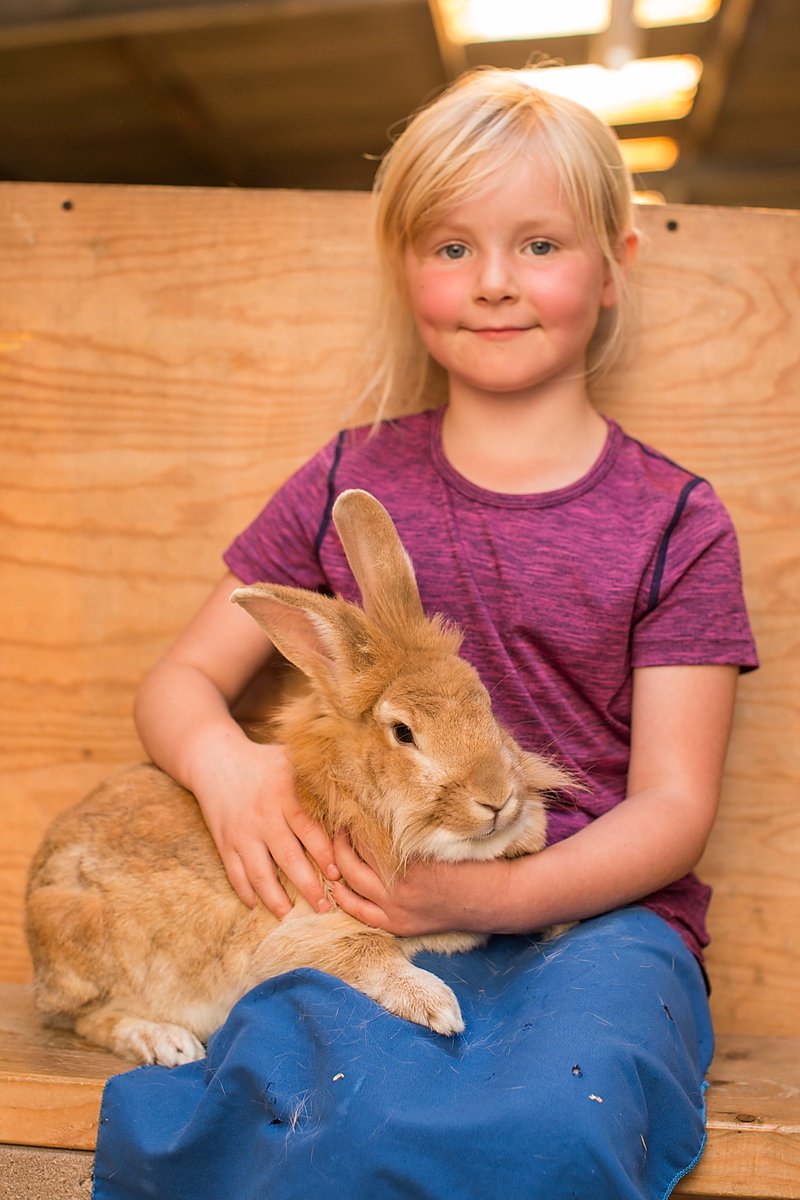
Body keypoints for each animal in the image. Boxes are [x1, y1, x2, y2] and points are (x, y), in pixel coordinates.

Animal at [25, 487, 573, 1070]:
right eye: (403, 733)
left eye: (486, 703)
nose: (497, 798)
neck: (357, 801)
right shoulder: (307, 935)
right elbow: (370, 953)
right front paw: (439, 1007)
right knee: (88, 1017)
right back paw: (166, 1042)